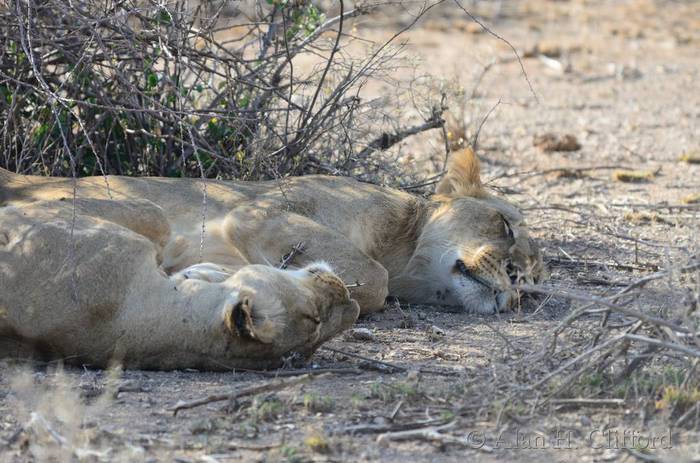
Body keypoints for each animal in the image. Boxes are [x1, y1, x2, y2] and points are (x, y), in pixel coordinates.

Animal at [0, 148, 545, 369]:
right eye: (505, 225)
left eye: (532, 289)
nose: (514, 282)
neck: (403, 247)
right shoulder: (262, 210)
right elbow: (373, 279)